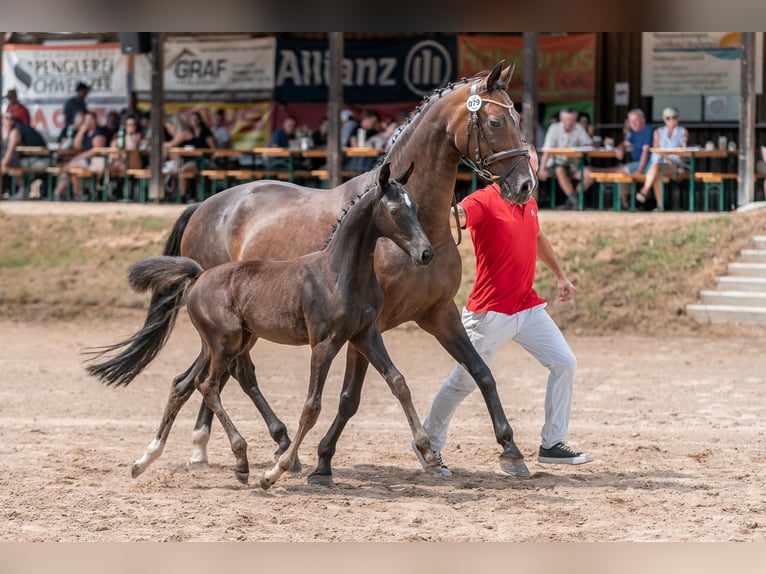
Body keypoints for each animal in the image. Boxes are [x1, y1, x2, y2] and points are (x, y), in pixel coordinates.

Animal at [126, 163, 438, 490]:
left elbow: (399, 383)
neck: (340, 274)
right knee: (208, 385)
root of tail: (199, 275)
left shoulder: (366, 335)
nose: (425, 253)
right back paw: (241, 459)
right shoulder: (324, 344)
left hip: (226, 343)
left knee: (186, 383)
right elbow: (311, 407)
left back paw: (145, 459)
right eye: (394, 210)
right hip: (226, 343)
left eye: (415, 207)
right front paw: (276, 471)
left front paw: (429, 452)